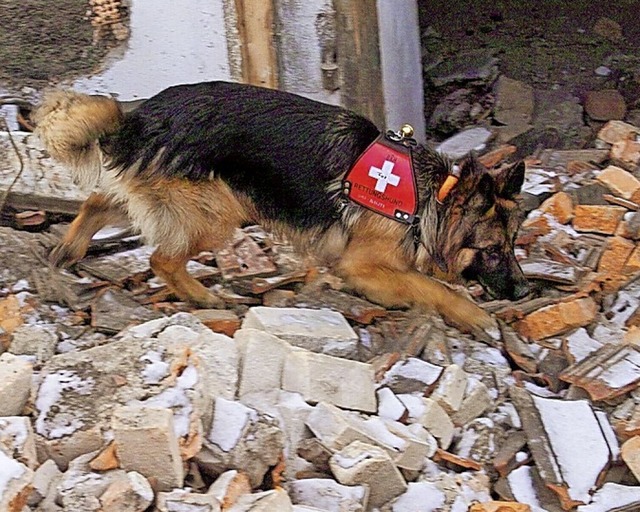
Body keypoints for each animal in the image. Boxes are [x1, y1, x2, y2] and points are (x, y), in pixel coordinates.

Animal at [32, 81, 528, 336]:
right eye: (492, 250)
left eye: (512, 245)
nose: (525, 293)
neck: (433, 198)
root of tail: (135, 119)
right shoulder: (365, 267)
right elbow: (434, 287)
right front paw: (475, 315)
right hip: (217, 210)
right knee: (161, 259)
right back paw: (204, 297)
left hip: (173, 195)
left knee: (100, 200)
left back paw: (69, 250)